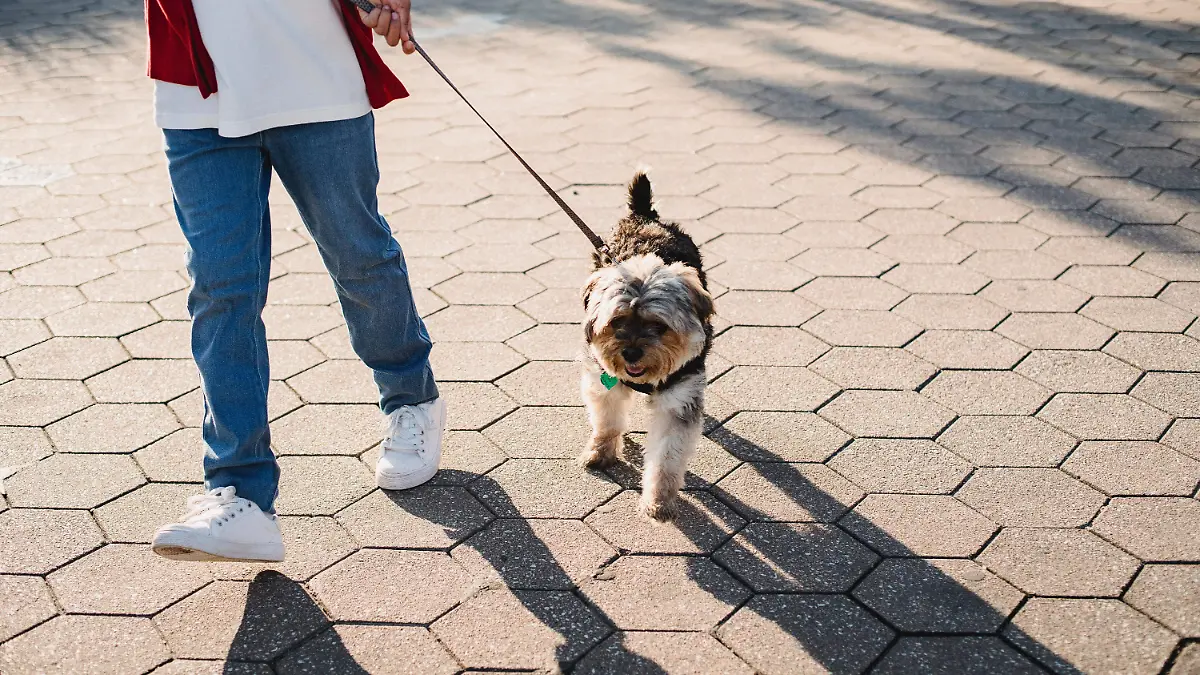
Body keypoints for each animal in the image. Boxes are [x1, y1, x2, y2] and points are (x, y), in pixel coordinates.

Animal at [578, 172, 710, 521]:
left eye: (659, 327)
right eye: (616, 322)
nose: (632, 353)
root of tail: (643, 215)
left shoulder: (679, 398)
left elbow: (667, 456)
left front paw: (659, 501)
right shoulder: (603, 379)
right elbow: (607, 420)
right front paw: (601, 452)